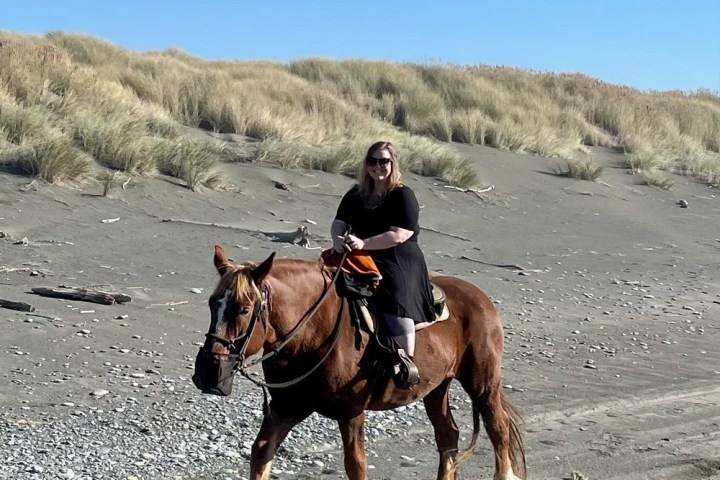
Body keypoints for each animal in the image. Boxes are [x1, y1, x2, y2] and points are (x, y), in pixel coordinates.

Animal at [192, 245, 526, 480]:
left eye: (244, 309)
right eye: (211, 304)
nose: (208, 372)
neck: (313, 332)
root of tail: (479, 297)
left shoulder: (351, 411)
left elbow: (355, 465)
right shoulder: (286, 407)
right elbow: (261, 452)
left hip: (482, 383)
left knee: (499, 431)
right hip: (436, 388)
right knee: (448, 435)